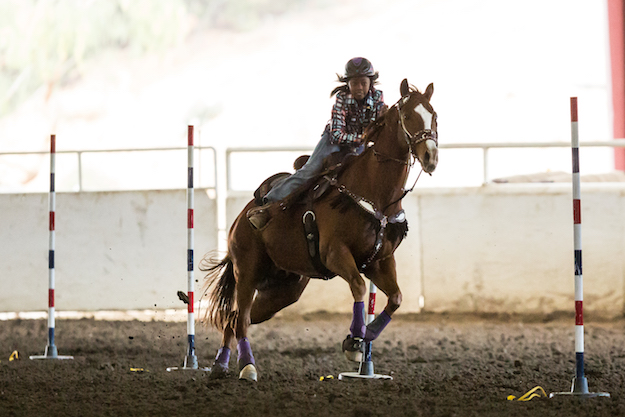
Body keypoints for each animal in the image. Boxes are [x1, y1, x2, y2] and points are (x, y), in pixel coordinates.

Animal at [202, 79, 436, 380]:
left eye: (434, 115)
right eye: (407, 115)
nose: (430, 156)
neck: (376, 195)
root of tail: (241, 218)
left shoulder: (379, 261)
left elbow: (396, 298)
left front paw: (364, 338)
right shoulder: (335, 254)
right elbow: (359, 287)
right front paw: (354, 342)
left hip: (283, 290)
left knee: (233, 319)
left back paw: (220, 365)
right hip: (247, 271)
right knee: (240, 319)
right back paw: (246, 367)